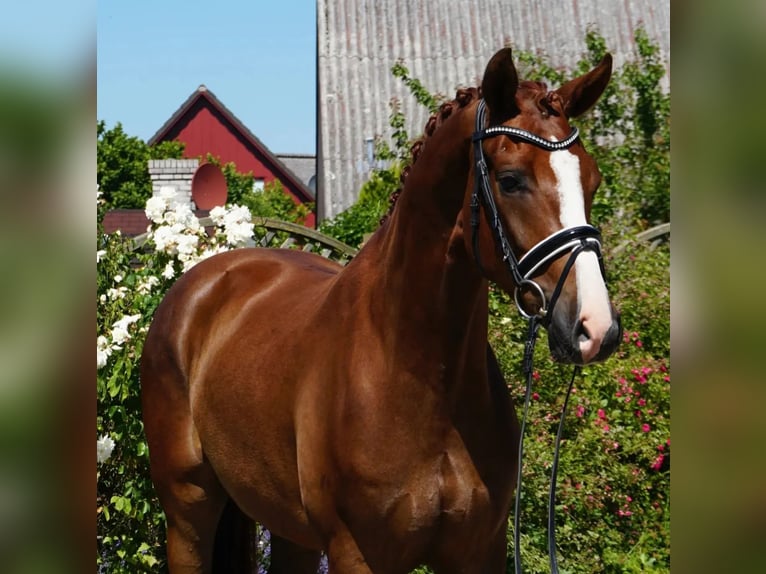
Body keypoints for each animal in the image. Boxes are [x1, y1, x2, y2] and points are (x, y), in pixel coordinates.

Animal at [141, 50, 624, 574]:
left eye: (593, 179)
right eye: (511, 180)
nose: (596, 328)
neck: (417, 374)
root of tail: (202, 281)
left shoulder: (480, 549)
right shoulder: (358, 554)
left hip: (291, 530)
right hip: (189, 510)